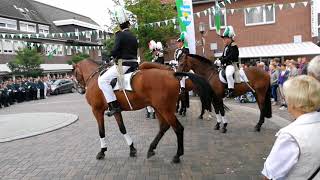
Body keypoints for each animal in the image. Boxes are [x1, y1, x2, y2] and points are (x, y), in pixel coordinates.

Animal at [73, 59, 215, 163]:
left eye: (73, 73)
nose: (78, 89)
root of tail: (172, 73)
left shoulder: (97, 111)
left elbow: (101, 131)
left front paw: (102, 151)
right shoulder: (116, 110)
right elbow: (122, 128)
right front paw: (132, 149)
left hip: (165, 109)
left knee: (178, 128)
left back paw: (177, 155)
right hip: (159, 109)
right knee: (164, 127)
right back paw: (151, 149)